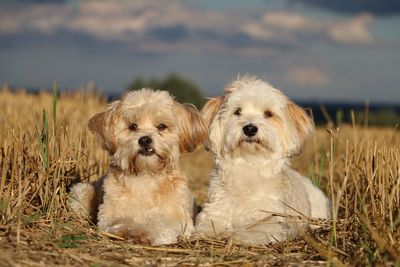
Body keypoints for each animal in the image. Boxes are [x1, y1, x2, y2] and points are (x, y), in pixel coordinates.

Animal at [68, 89, 206, 246]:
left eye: (162, 126)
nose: (145, 140)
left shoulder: (179, 217)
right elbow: (123, 220)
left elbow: (160, 223)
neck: (146, 175)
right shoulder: (108, 214)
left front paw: (144, 231)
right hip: (81, 191)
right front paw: (130, 229)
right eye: (133, 126)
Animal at [195, 76, 332, 245]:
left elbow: (256, 229)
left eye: (268, 114)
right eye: (237, 111)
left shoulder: (271, 219)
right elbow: (209, 224)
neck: (249, 165)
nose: (250, 128)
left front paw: (239, 236)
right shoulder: (214, 210)